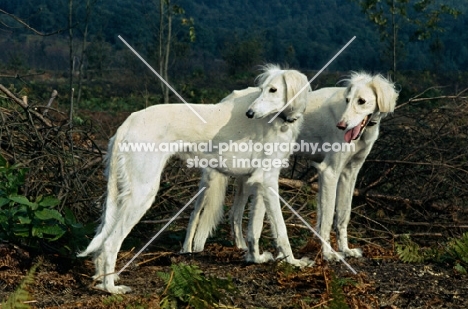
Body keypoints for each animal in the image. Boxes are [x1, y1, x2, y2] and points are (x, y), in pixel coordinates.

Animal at [78, 63, 314, 292]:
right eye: (263, 89)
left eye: (273, 90)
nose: (250, 113)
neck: (279, 119)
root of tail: (127, 123)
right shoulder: (268, 181)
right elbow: (281, 229)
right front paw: (293, 262)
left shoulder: (259, 181)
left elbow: (254, 229)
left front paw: (255, 258)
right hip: (143, 192)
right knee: (110, 243)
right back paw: (111, 288)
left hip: (123, 192)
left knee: (102, 239)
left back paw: (101, 280)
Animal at [183, 71, 398, 260]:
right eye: (347, 100)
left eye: (361, 101)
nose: (342, 126)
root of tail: (226, 99)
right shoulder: (330, 172)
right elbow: (328, 217)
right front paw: (329, 254)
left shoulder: (350, 173)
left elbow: (343, 215)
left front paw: (345, 249)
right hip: (211, 177)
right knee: (194, 213)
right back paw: (187, 249)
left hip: (246, 175)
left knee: (235, 214)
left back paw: (243, 247)